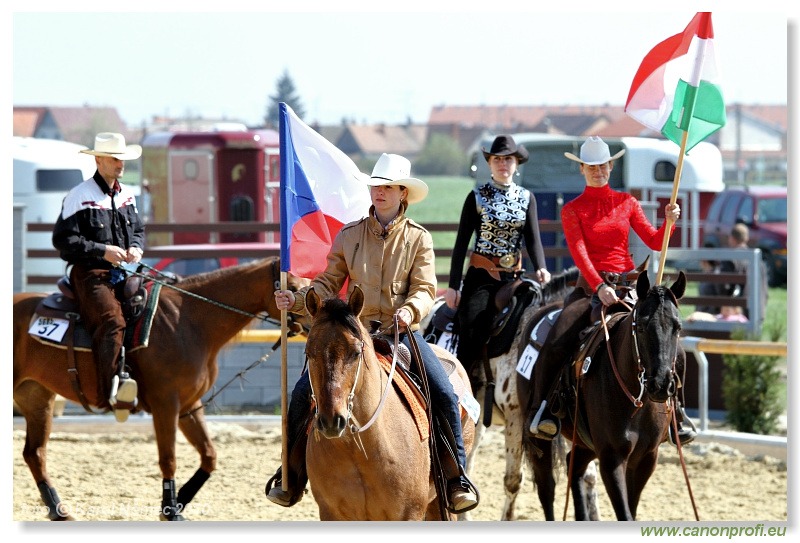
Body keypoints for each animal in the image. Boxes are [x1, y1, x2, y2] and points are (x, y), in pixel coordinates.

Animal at [15, 260, 310, 524]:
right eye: (293, 287)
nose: (312, 323)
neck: (188, 320)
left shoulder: (188, 405)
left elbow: (209, 456)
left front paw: (180, 500)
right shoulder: (166, 404)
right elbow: (168, 459)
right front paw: (170, 509)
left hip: (37, 397)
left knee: (34, 453)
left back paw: (58, 510)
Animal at [304, 286, 472, 520]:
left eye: (356, 352)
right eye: (309, 352)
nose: (331, 421)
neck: (360, 450)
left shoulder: (409, 513)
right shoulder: (330, 513)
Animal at [524, 272, 688, 524]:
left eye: (677, 327)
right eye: (641, 326)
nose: (661, 385)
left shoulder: (646, 458)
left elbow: (632, 509)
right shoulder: (612, 459)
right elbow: (625, 513)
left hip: (586, 442)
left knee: (574, 468)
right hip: (540, 439)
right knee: (547, 488)